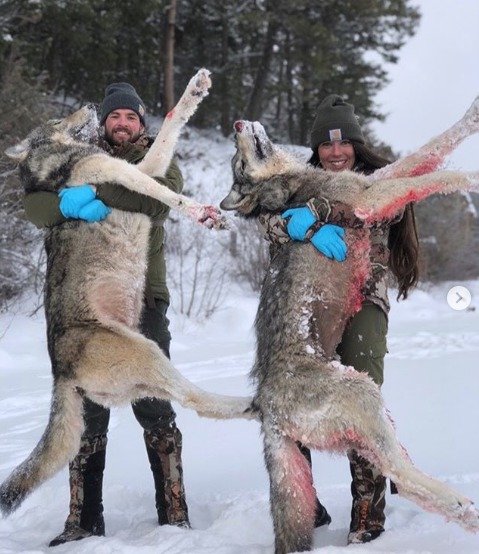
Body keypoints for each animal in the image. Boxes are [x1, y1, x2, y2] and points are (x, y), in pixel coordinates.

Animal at [0, 70, 253, 516]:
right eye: (57, 118)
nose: (88, 103)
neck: (56, 164)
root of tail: (61, 376)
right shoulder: (125, 174)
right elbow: (169, 194)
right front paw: (204, 214)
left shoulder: (140, 165)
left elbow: (170, 123)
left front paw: (196, 89)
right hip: (147, 353)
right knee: (197, 400)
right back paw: (250, 402)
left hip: (140, 377)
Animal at [220, 97, 479, 548]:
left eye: (236, 161)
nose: (235, 122)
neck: (292, 189)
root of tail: (265, 406)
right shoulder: (370, 195)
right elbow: (436, 164)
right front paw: (473, 175)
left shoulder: (374, 183)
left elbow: (428, 153)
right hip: (364, 392)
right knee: (400, 475)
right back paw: (462, 505)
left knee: (388, 469)